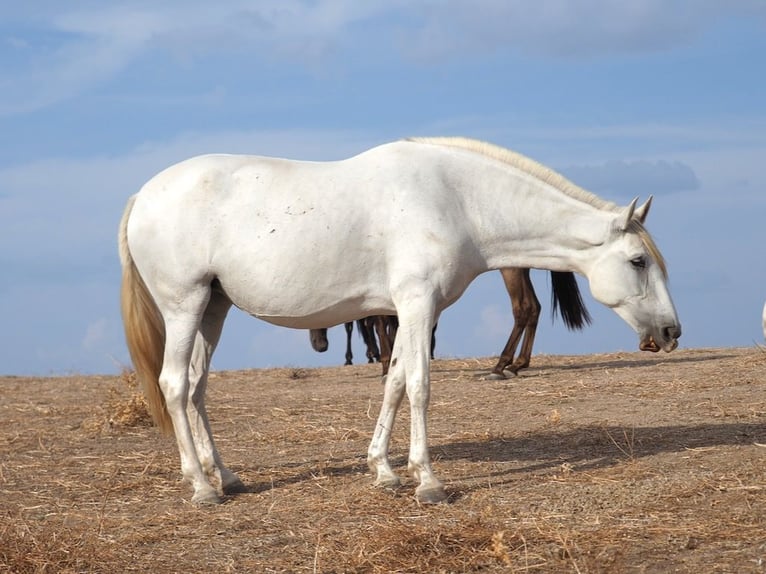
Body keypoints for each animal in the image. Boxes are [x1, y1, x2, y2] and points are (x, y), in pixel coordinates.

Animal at [308, 272, 592, 380]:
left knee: (523, 308)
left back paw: (501, 366)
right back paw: (518, 364)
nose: (318, 345)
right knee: (534, 307)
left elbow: (380, 325)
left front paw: (386, 365)